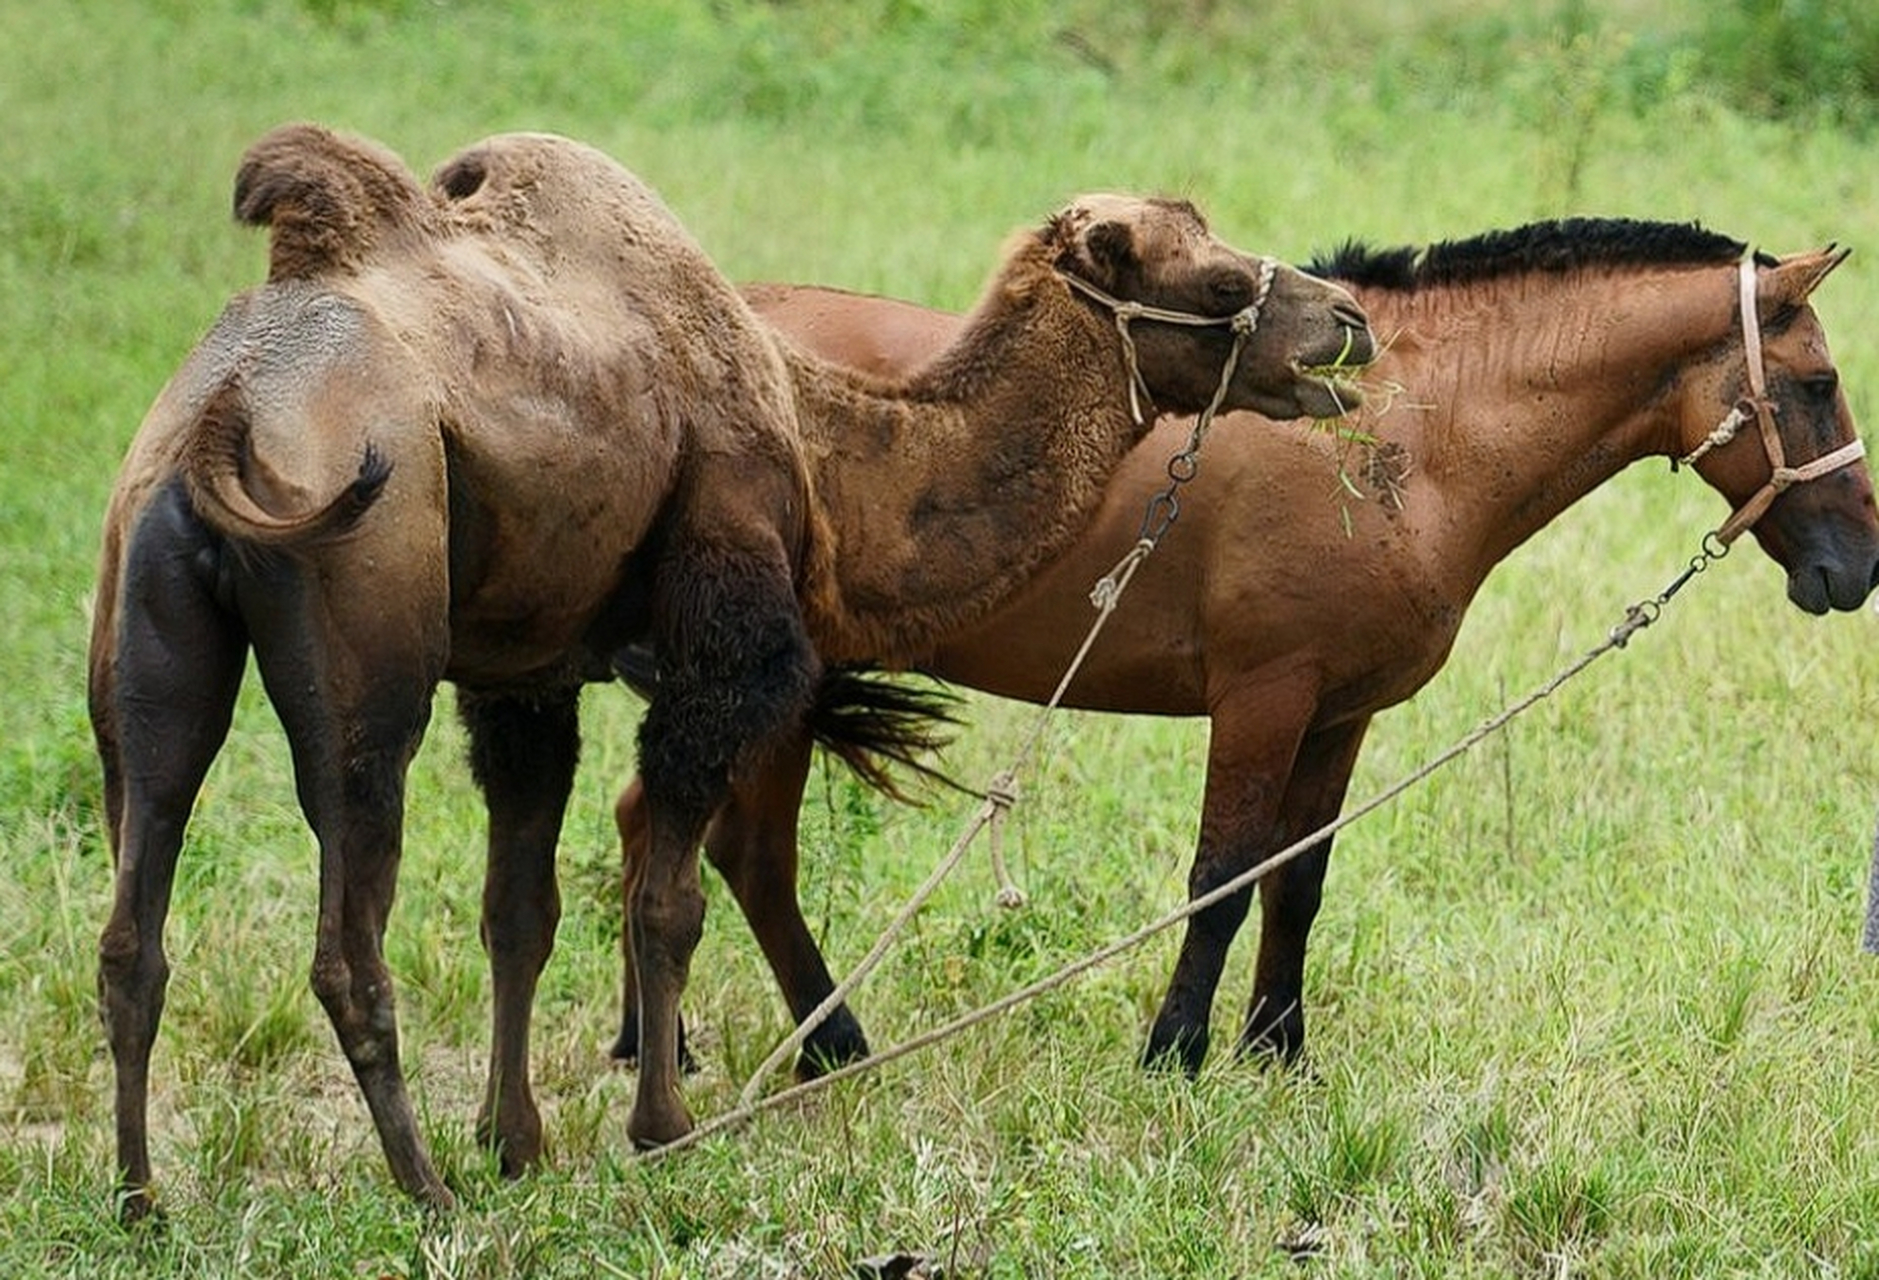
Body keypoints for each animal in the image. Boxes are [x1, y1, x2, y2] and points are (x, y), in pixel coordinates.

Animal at [88, 117, 1375, 1210]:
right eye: (1216, 281)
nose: (1347, 317)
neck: (826, 446)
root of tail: (229, 410)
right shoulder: (726, 642)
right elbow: (669, 899)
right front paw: (660, 1125)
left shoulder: (524, 672)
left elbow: (522, 907)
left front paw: (518, 1141)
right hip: (367, 621)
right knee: (348, 923)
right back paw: (423, 1190)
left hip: (141, 607)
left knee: (137, 892)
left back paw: (142, 1196)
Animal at [616, 214, 1879, 1082]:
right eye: (1817, 384)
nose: (1858, 566)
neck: (1402, 436)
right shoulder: (1265, 696)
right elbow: (1221, 876)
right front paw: (1173, 1052)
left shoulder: (1338, 711)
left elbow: (1296, 880)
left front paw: (1276, 1051)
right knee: (751, 860)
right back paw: (832, 1044)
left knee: (651, 828)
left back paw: (654, 1045)